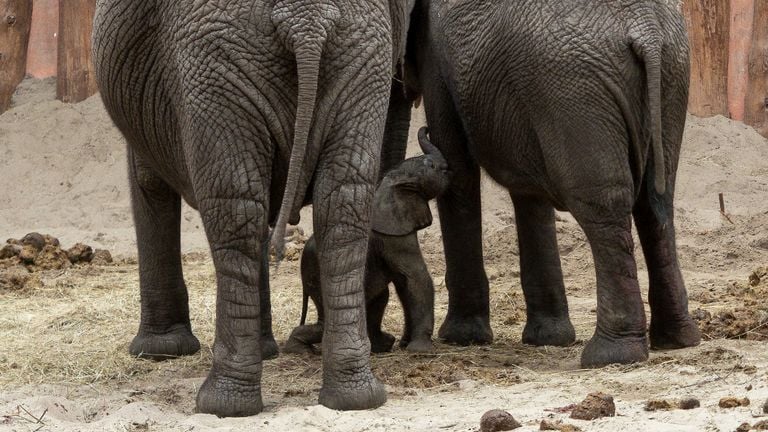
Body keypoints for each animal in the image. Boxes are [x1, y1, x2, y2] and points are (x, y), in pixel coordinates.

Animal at [94, 0, 420, 418]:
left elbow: (149, 182)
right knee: (339, 201)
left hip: (214, 61)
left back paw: (223, 404)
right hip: (355, 53)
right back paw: (355, 398)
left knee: (236, 208)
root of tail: (307, 18)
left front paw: (158, 352)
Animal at [284, 128, 448, 354]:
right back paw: (302, 349)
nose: (426, 128)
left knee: (379, 297)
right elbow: (416, 278)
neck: (388, 184)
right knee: (330, 321)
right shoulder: (393, 236)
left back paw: (381, 344)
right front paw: (421, 350)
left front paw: (405, 344)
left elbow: (403, 283)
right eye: (431, 166)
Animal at [408, 0, 704, 368]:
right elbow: (528, 190)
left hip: (575, 89)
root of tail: (646, 29)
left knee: (604, 207)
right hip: (670, 75)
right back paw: (676, 340)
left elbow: (458, 171)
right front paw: (548, 338)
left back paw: (610, 356)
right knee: (656, 203)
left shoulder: (436, 59)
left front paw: (462, 338)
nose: (420, 132)